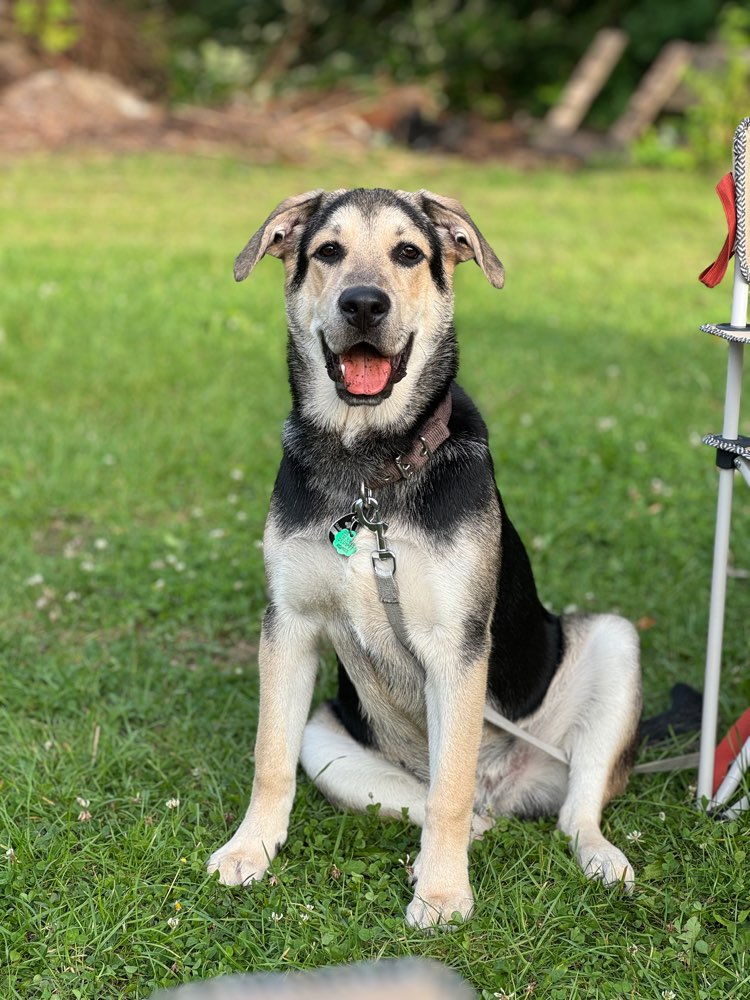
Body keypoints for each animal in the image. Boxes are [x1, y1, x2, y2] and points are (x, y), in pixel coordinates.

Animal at [209, 189, 644, 928]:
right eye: (328, 251)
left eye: (408, 253)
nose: (363, 304)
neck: (369, 471)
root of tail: (504, 787)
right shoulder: (288, 626)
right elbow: (270, 759)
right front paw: (250, 849)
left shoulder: (456, 648)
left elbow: (449, 789)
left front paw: (441, 895)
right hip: (329, 740)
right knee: (471, 815)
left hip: (613, 646)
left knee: (564, 808)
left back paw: (597, 857)